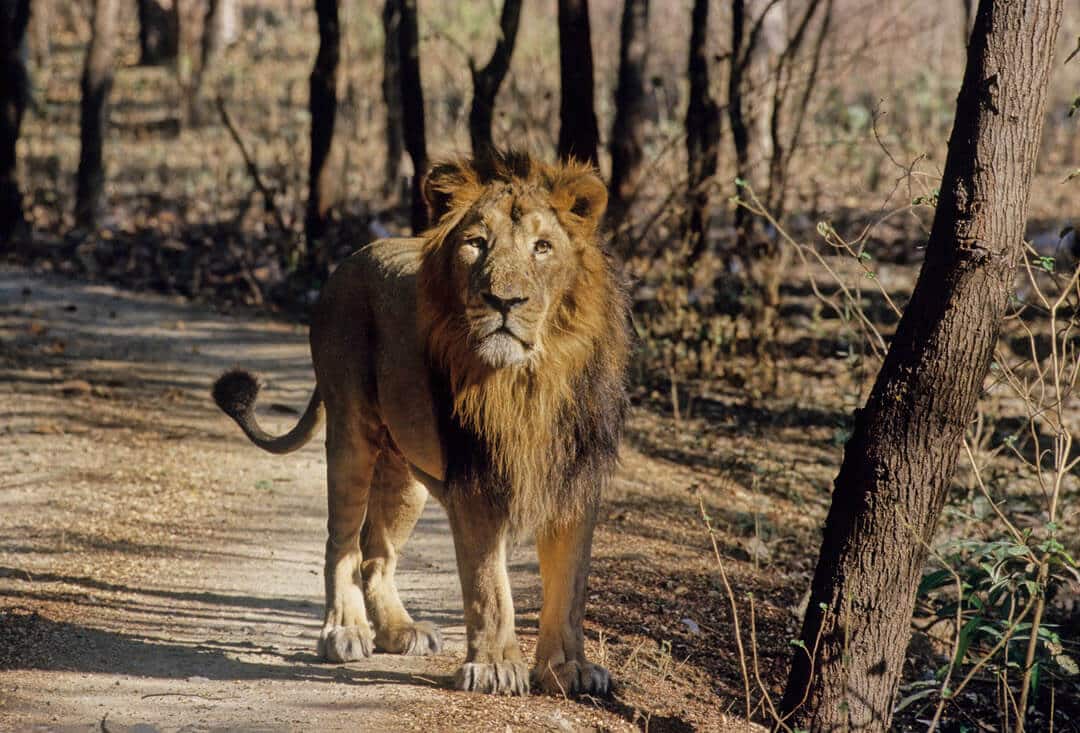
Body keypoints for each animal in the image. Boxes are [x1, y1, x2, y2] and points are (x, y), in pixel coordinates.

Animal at [211, 152, 630, 695]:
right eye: (476, 243)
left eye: (543, 247)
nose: (504, 301)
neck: (529, 380)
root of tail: (356, 255)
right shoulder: (475, 482)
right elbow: (489, 585)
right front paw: (494, 666)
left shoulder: (575, 481)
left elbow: (570, 587)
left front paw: (569, 668)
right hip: (351, 432)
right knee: (341, 541)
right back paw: (344, 631)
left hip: (407, 471)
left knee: (377, 552)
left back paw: (399, 630)